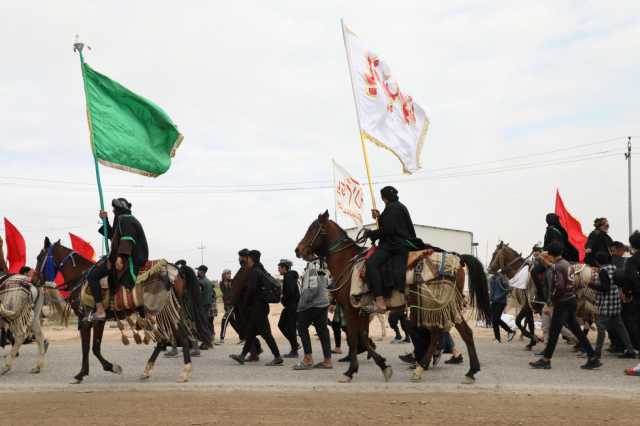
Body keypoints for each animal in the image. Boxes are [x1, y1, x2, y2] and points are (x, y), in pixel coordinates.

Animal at [33, 238, 192, 384]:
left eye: (39, 257)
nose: (34, 280)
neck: (80, 277)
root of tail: (174, 270)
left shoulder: (86, 321)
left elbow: (89, 348)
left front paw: (88, 372)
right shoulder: (98, 321)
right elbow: (94, 347)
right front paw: (95, 370)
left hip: (160, 312)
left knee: (177, 338)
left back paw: (184, 371)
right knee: (164, 340)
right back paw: (147, 370)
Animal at [296, 211, 490, 384]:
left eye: (313, 229)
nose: (298, 250)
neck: (347, 263)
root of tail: (458, 260)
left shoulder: (351, 309)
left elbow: (354, 338)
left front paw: (351, 371)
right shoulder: (363, 310)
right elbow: (363, 337)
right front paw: (382, 366)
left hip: (441, 304)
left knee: (451, 332)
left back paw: (441, 369)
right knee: (451, 333)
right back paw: (452, 370)